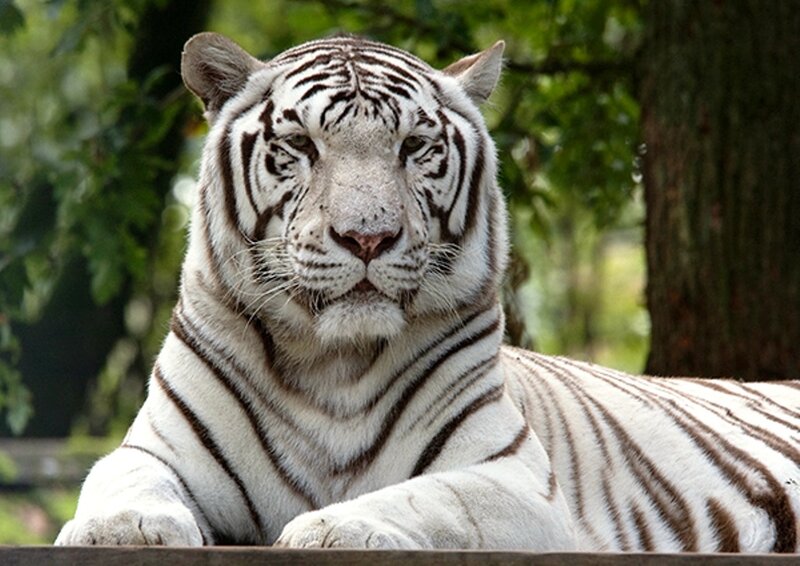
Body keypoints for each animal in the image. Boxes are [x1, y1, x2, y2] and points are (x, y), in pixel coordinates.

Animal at [55, 32, 800, 552]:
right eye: (300, 144)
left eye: (414, 146)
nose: (367, 237)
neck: (330, 361)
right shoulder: (158, 448)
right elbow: (116, 478)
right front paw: (124, 529)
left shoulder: (514, 480)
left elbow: (424, 501)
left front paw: (326, 529)